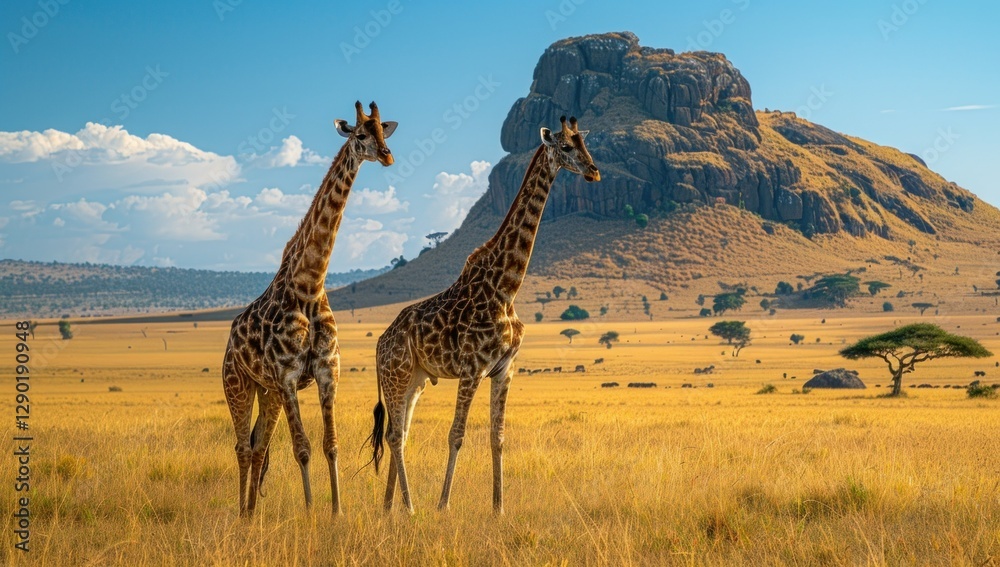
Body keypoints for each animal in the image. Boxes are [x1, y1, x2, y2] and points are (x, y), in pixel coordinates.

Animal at [223, 101, 397, 518]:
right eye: (360, 135)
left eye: (382, 131)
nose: (387, 156)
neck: (309, 284)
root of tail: (229, 343)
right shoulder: (287, 377)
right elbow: (301, 449)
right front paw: (310, 510)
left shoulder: (326, 371)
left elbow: (330, 446)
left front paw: (336, 511)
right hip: (238, 385)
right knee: (241, 446)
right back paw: (241, 514)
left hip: (266, 392)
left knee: (258, 447)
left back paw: (252, 514)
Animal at [369, 116, 600, 514]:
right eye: (566, 147)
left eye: (585, 144)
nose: (594, 172)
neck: (507, 288)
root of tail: (381, 343)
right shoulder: (472, 369)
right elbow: (456, 435)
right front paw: (443, 506)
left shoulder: (504, 370)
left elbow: (498, 437)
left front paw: (499, 507)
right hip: (395, 375)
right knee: (396, 435)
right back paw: (410, 507)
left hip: (415, 379)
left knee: (399, 432)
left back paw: (388, 507)